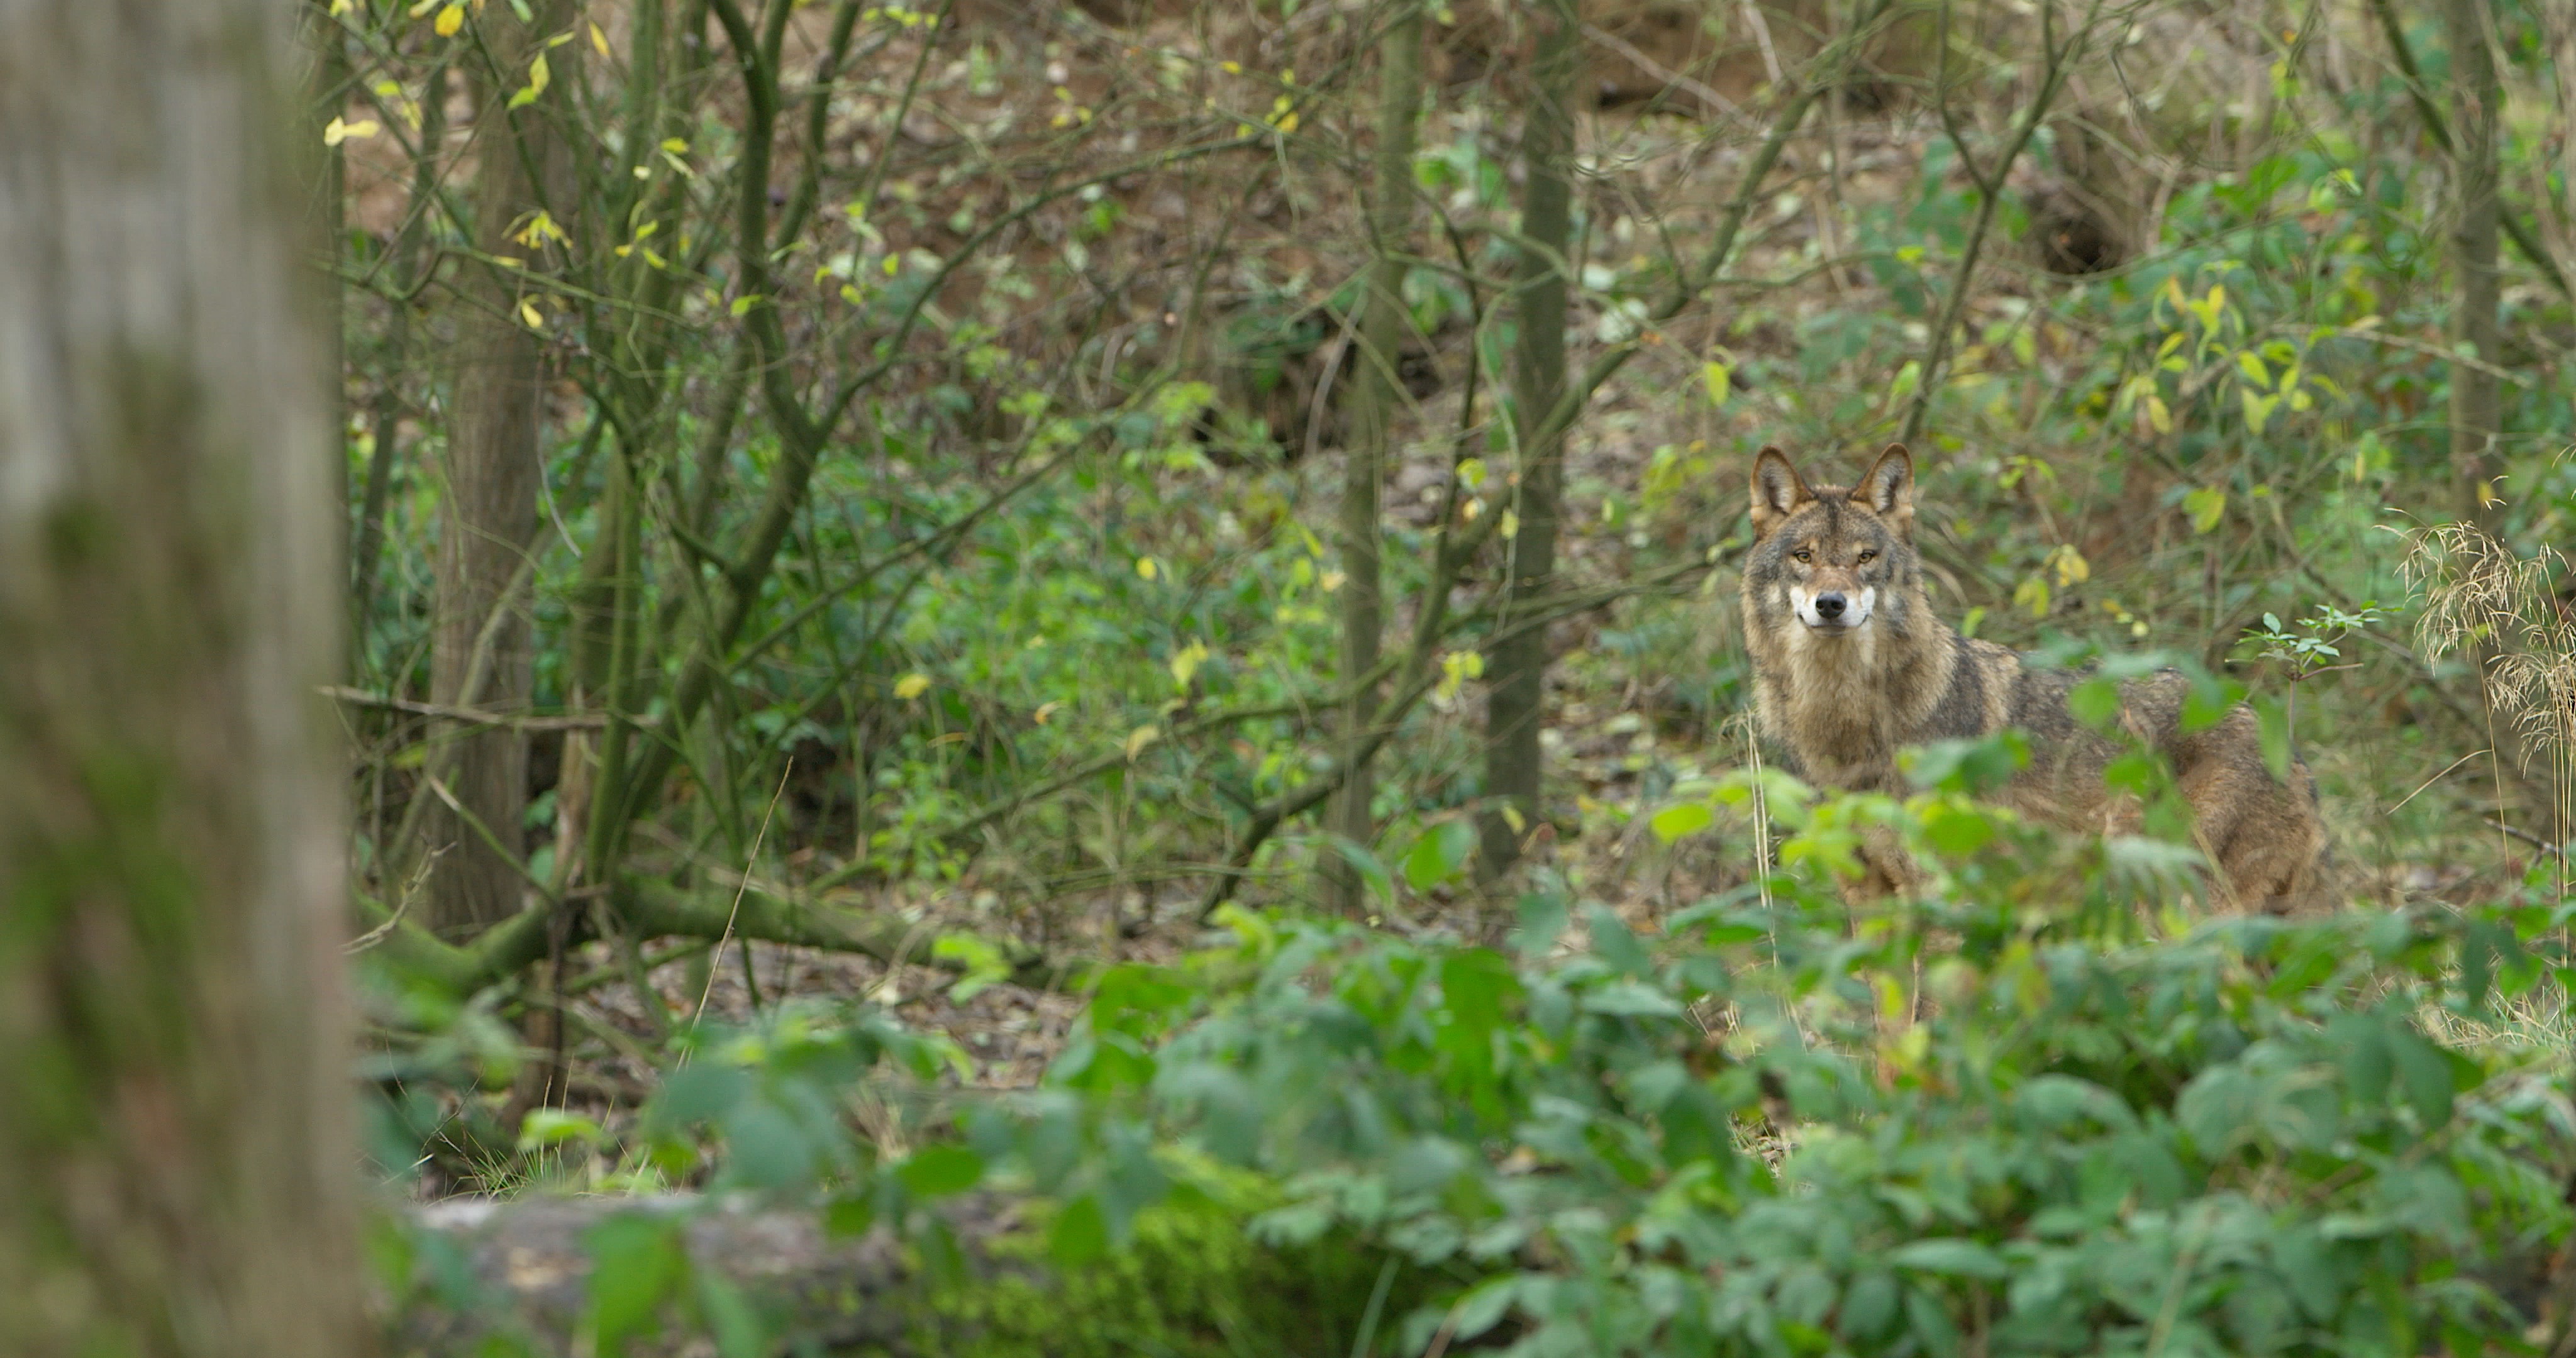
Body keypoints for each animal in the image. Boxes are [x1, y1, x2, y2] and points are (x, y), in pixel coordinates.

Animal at [1739, 442, 2324, 910]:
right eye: (1804, 556)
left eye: (1866, 557)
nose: (1831, 604)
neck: (1846, 725)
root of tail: (2292, 752)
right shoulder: (1866, 893)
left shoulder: (1943, 891)